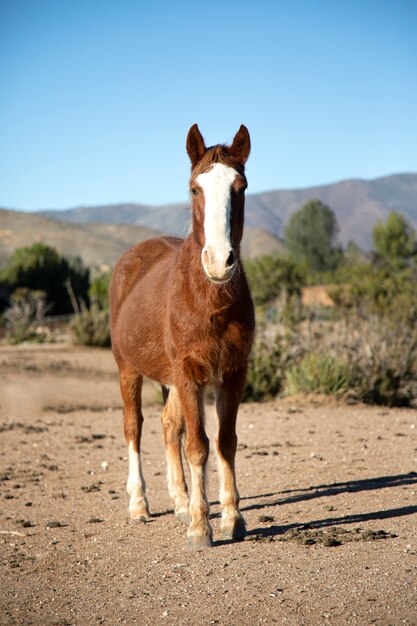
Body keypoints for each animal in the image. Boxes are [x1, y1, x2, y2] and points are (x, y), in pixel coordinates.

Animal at [109, 123, 255, 544]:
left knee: (168, 425)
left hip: (171, 378)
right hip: (129, 369)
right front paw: (200, 525)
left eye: (240, 186)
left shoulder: (232, 374)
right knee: (135, 427)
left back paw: (179, 500)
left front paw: (231, 518)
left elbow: (225, 443)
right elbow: (198, 445)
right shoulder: (190, 374)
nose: (220, 262)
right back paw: (139, 505)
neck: (208, 300)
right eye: (195, 188)